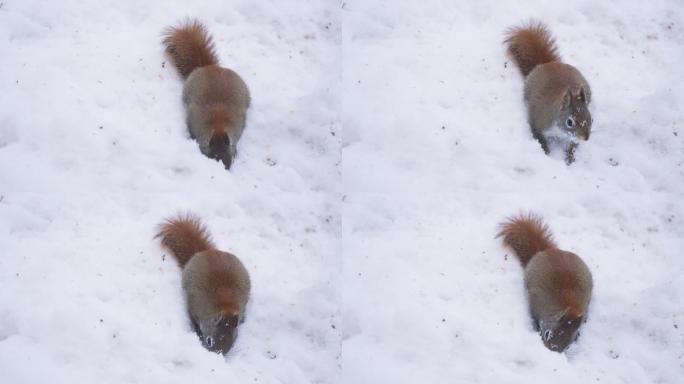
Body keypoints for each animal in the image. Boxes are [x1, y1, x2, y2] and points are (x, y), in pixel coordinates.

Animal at [156, 213, 251, 354]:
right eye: (209, 340)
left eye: (232, 344)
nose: (217, 354)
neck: (225, 305)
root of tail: (204, 252)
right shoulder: (194, 306)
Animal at [502, 22, 592, 164]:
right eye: (570, 122)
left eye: (590, 118)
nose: (585, 138)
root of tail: (548, 64)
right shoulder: (538, 121)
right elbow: (539, 137)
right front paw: (546, 152)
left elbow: (572, 144)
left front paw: (570, 157)